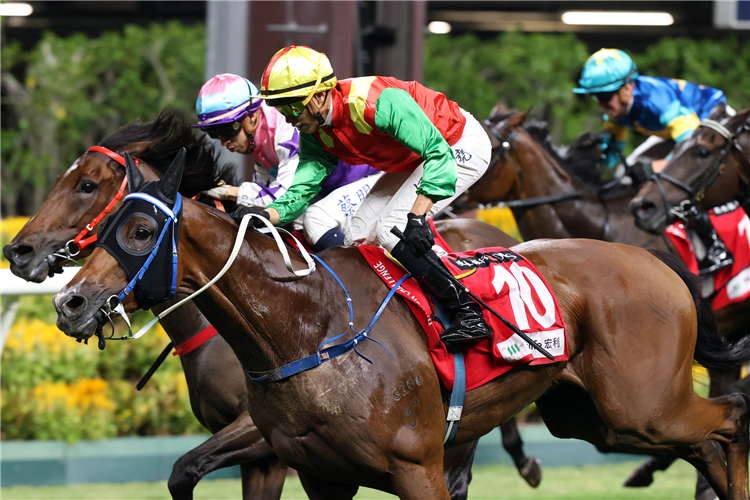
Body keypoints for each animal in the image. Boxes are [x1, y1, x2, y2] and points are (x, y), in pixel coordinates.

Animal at [53, 152, 750, 500]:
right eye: (107, 222)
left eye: (138, 230)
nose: (70, 303)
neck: (310, 328)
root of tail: (653, 259)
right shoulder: (321, 476)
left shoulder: (418, 468)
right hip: (597, 418)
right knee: (704, 443)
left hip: (644, 407)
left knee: (732, 418)